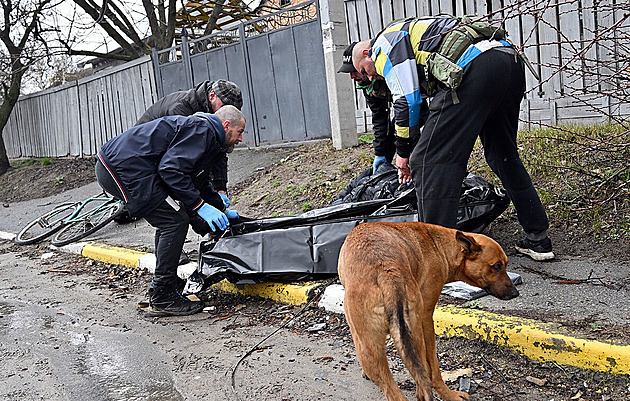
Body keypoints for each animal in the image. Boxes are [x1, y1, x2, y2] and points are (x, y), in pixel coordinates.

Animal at [338, 222, 520, 400]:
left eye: (504, 265)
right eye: (497, 266)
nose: (515, 293)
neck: (440, 246)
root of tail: (387, 274)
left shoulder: (425, 318)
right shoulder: (426, 319)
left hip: (381, 345)